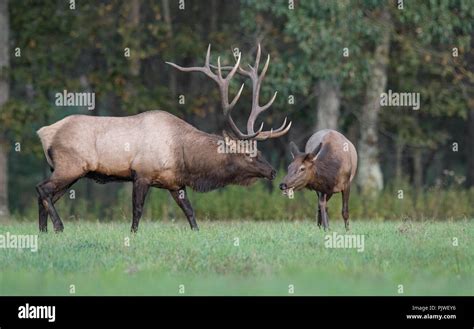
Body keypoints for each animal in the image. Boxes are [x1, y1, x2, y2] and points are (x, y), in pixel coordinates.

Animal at [36, 44, 288, 232]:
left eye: (261, 152)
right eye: (249, 155)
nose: (273, 171)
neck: (184, 157)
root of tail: (44, 132)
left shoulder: (175, 182)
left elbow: (190, 212)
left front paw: (196, 232)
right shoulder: (141, 173)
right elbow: (137, 211)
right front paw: (133, 235)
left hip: (69, 172)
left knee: (47, 195)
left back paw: (44, 231)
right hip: (70, 166)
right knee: (42, 189)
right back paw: (58, 227)